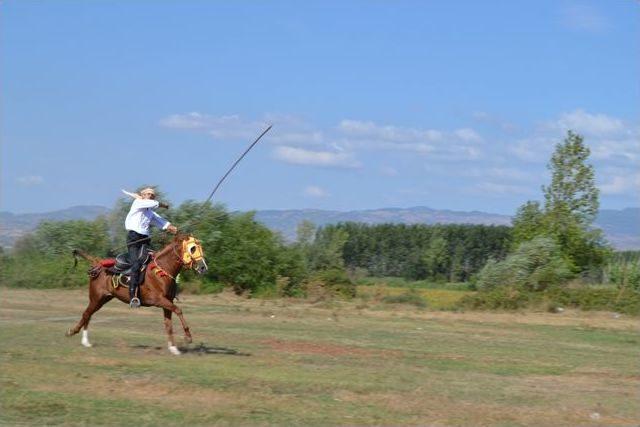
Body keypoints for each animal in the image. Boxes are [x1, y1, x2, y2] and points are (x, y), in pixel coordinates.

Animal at [64, 234, 206, 354]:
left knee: (89, 315)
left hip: (103, 299)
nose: (203, 267)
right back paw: (76, 335)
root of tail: (97, 263)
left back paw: (84, 341)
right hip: (96, 298)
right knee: (86, 314)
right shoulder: (159, 300)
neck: (161, 270)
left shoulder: (167, 302)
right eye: (192, 248)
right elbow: (178, 310)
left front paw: (173, 348)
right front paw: (188, 337)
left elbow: (168, 324)